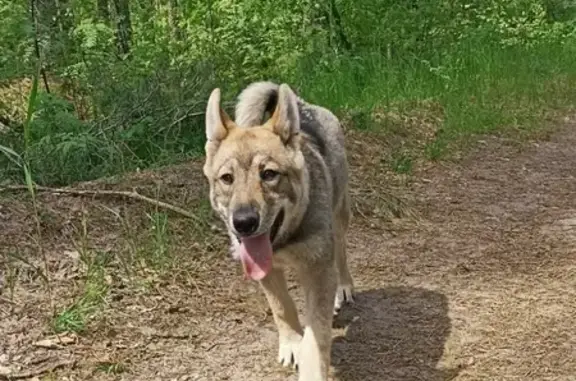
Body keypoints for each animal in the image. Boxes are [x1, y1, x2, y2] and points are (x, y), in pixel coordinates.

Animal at [202, 81, 356, 378]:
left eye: (269, 174)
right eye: (227, 178)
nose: (244, 222)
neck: (285, 241)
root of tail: (305, 107)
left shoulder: (318, 269)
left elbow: (316, 337)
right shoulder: (268, 273)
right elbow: (282, 308)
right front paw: (292, 343)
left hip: (340, 216)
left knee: (341, 252)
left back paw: (343, 287)